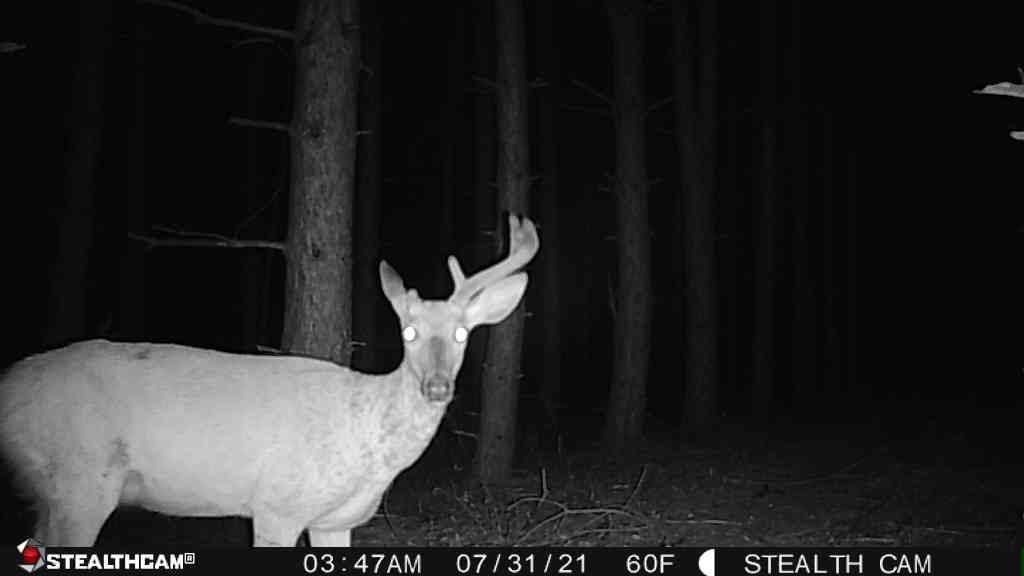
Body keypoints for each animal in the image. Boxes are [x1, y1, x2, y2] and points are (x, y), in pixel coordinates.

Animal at [0, 214, 539, 547]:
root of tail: (8, 384)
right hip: (81, 478)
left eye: (462, 333)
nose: (437, 387)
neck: (364, 445)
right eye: (407, 332)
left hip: (56, 488)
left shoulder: (336, 520)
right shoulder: (277, 504)